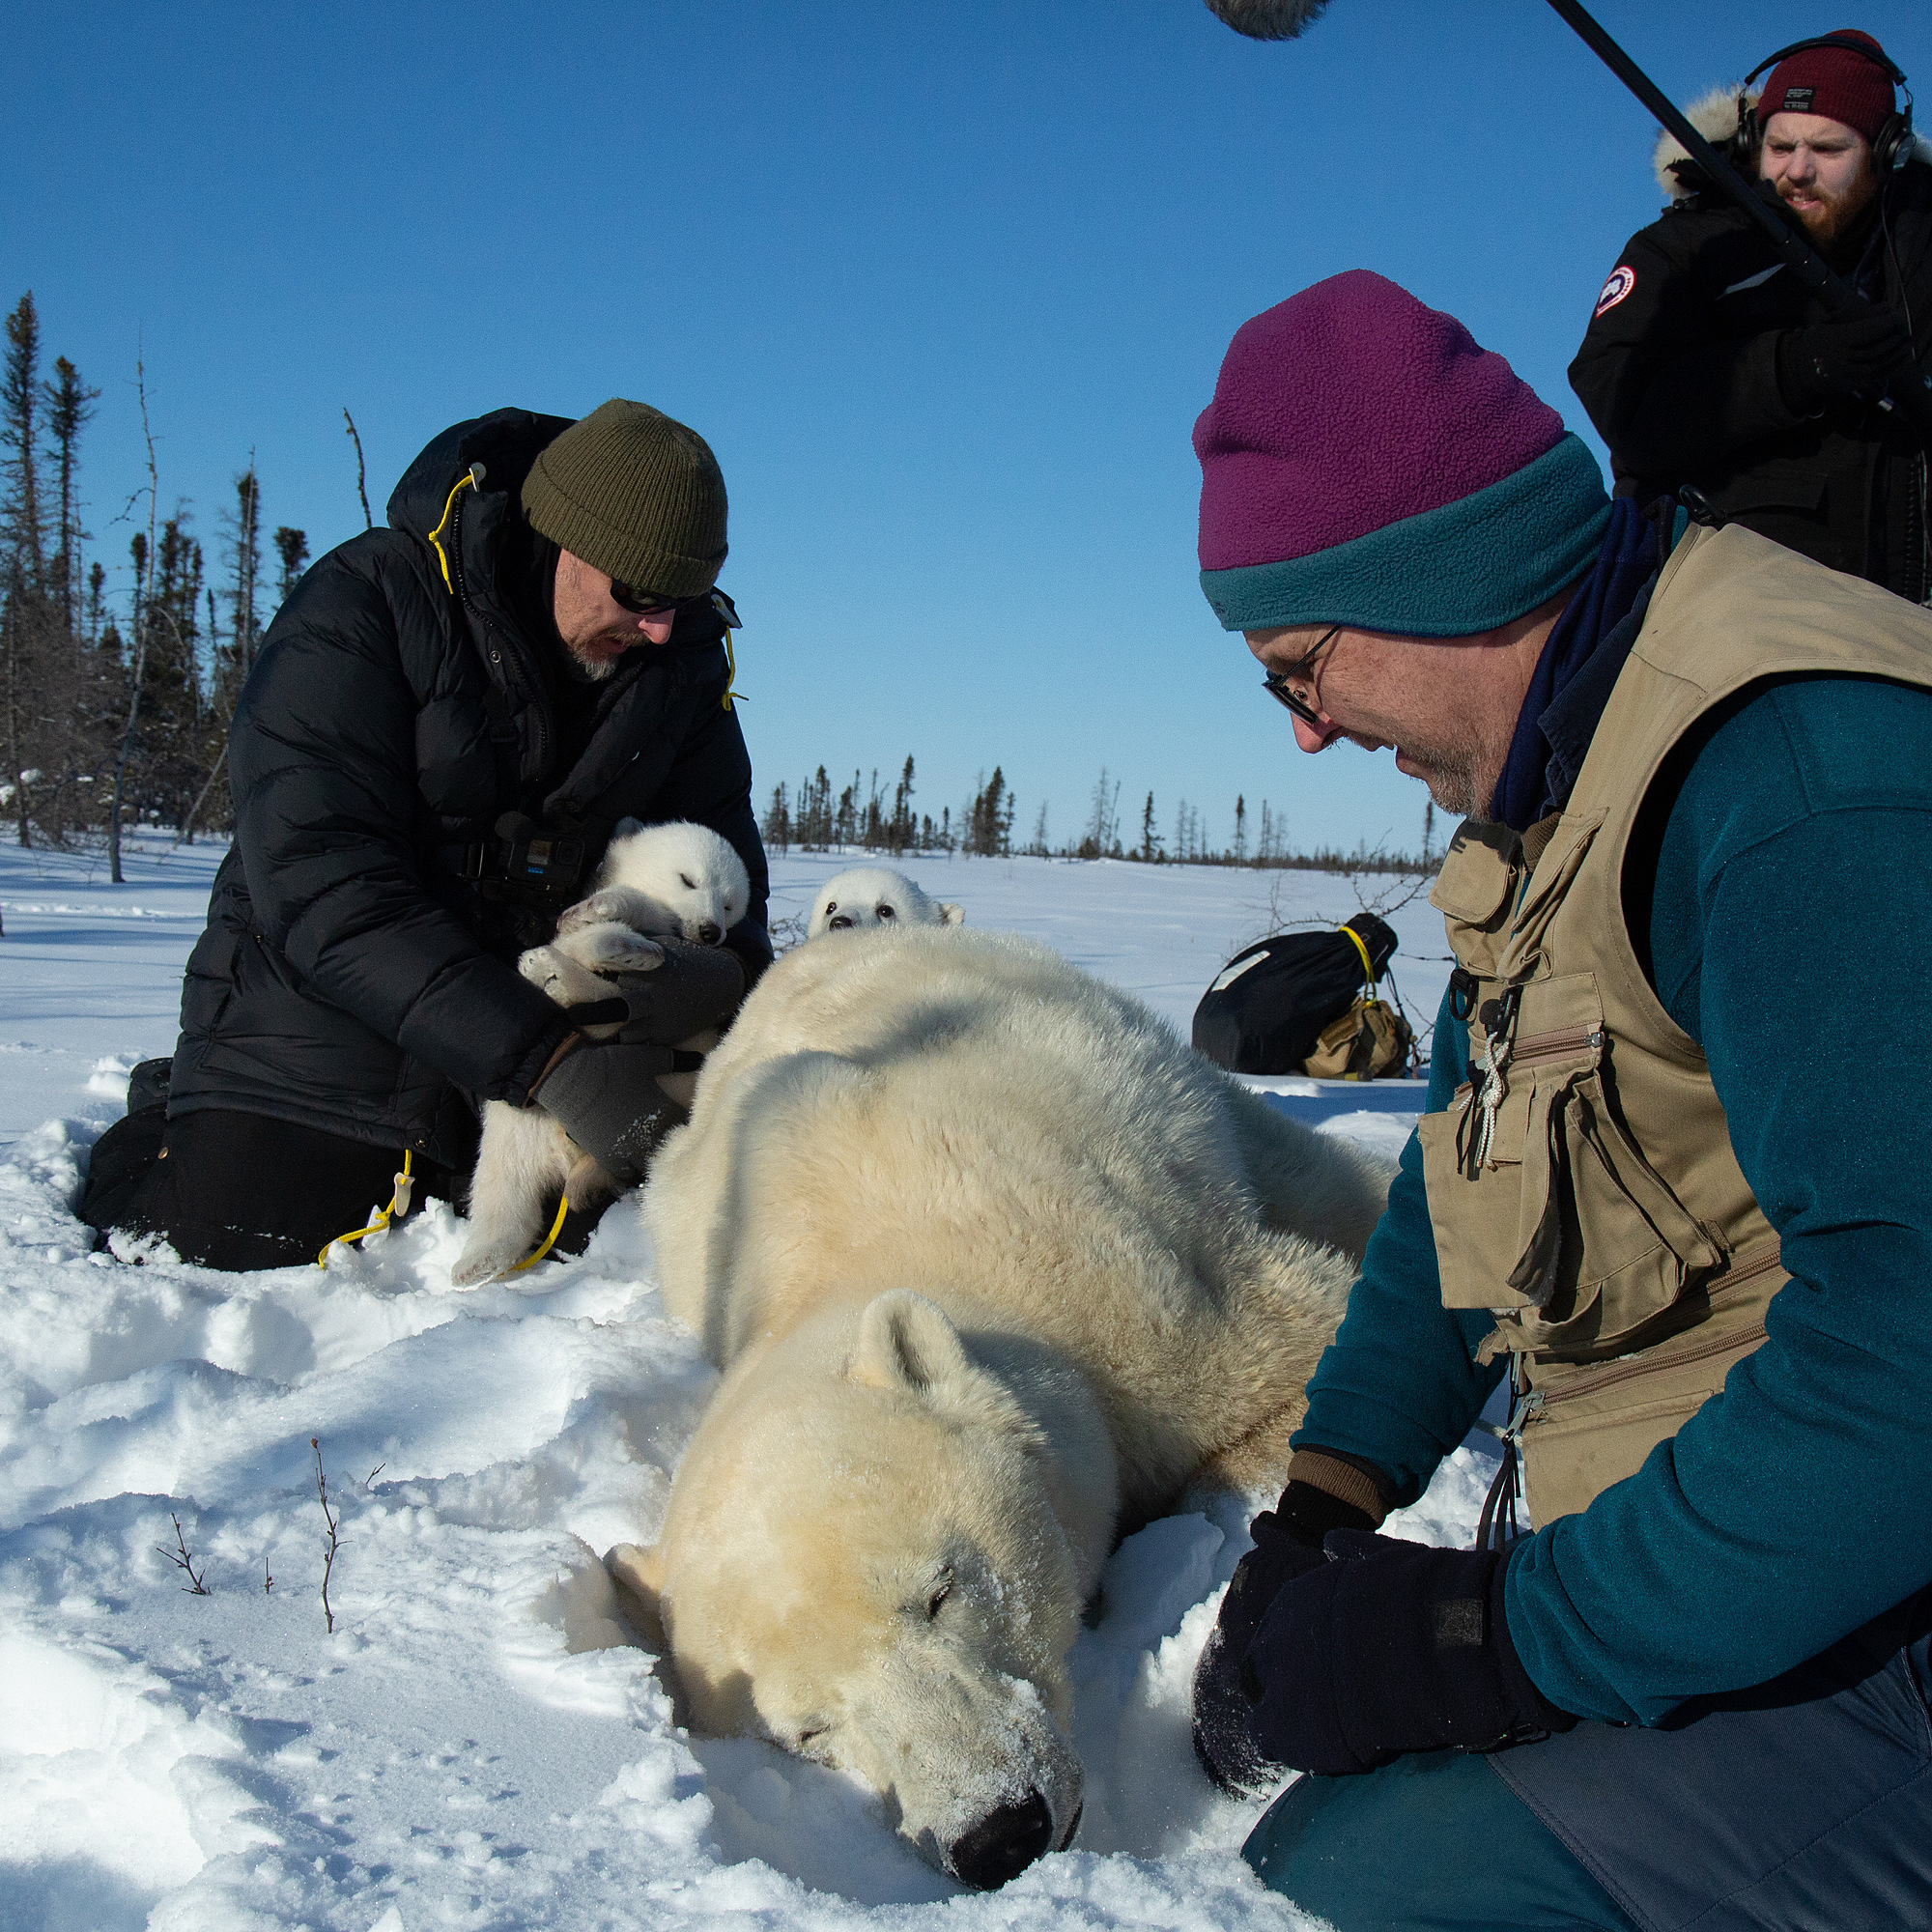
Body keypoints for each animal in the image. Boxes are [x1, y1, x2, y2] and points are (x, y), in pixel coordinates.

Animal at [611, 927, 1383, 1893]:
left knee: (1311, 1175)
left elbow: (1305, 1348)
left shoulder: (1126, 1295)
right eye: (806, 1732)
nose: (997, 1832)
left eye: (940, 1593)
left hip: (1168, 1099)